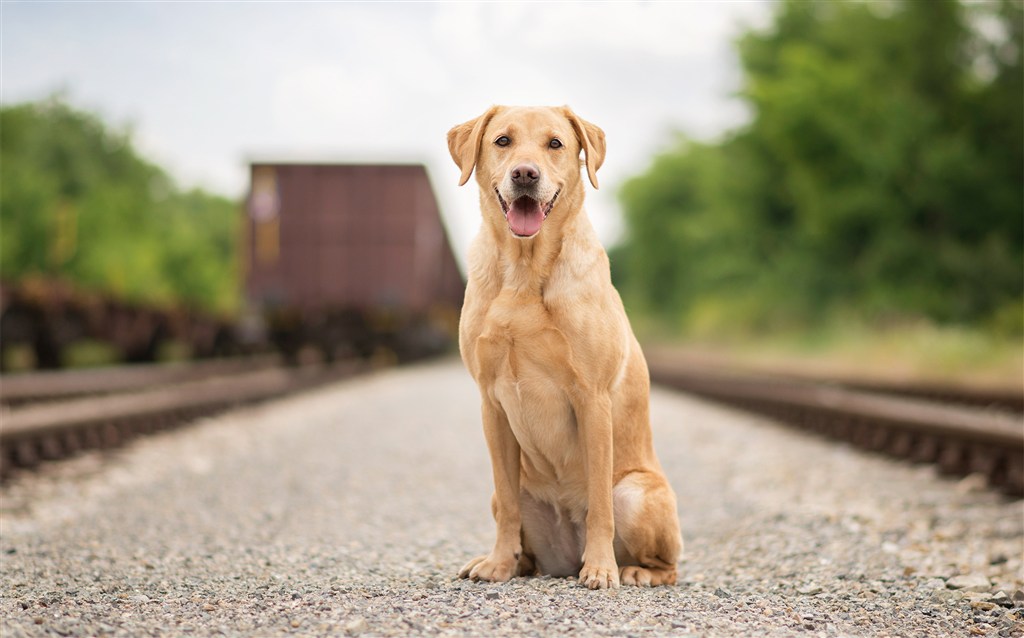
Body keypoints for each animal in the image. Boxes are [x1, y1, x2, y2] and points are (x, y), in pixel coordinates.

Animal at [446, 103, 679, 589]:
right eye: (502, 141)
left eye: (555, 143)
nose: (525, 174)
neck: (523, 270)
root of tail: (564, 559)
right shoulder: (491, 403)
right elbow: (508, 507)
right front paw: (498, 564)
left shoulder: (592, 398)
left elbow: (600, 505)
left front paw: (601, 569)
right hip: (507, 495)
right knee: (515, 521)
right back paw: (511, 562)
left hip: (637, 492)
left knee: (668, 563)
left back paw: (632, 570)